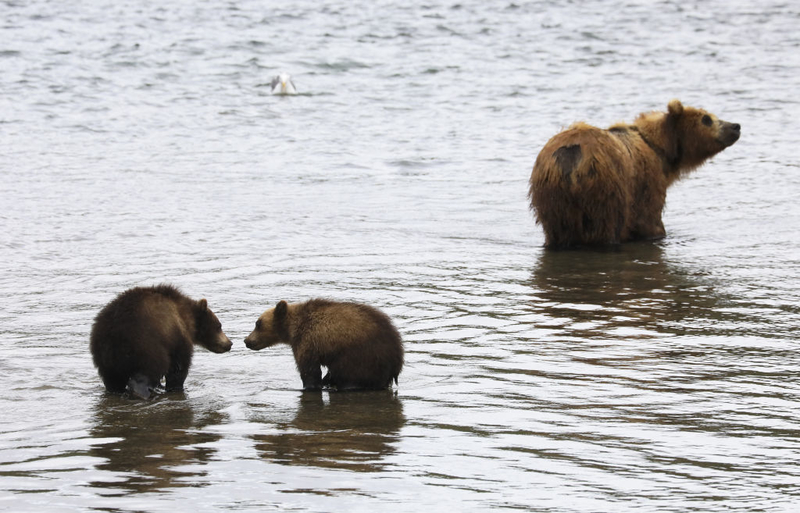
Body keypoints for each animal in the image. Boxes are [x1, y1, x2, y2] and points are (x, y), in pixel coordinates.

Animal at [242, 298, 406, 390]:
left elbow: (309, 370)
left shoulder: (307, 340)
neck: (292, 329)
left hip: (362, 357)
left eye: (258, 324)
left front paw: (310, 385)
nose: (247, 341)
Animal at [528, 100, 740, 248]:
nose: (735, 126)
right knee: (608, 227)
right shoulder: (647, 181)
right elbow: (650, 219)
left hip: (551, 195)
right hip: (606, 189)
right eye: (706, 118)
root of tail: (572, 157)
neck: (660, 148)